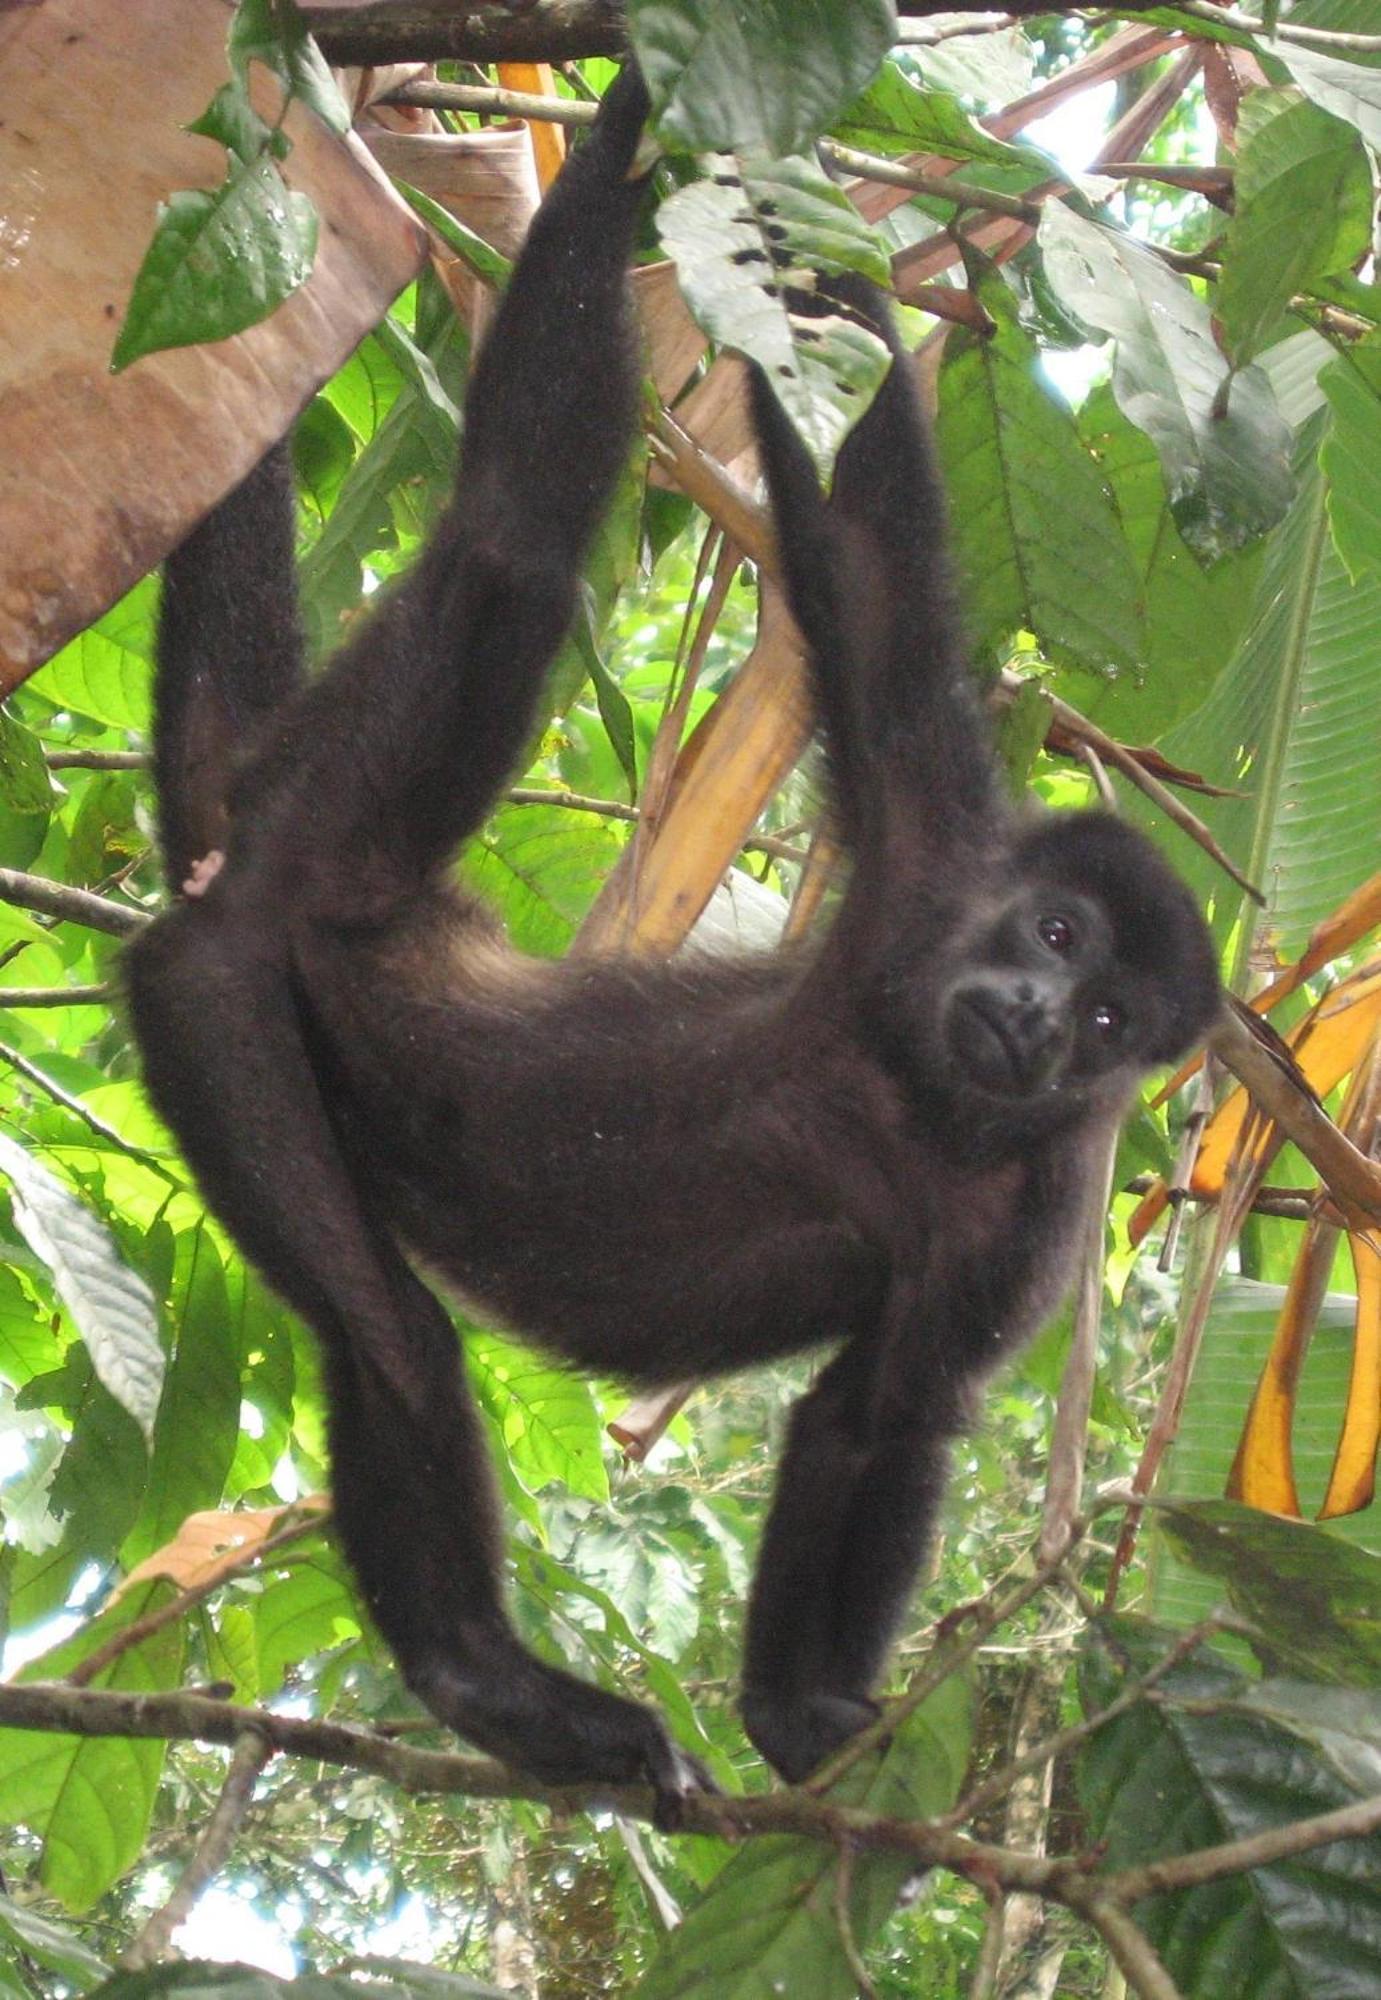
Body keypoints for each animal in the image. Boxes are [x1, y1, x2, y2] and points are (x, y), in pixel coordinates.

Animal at [123, 66, 1208, 1816]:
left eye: (1112, 1023)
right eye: (1052, 930)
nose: (1041, 1020)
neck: (913, 1082)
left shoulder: (1038, 1211)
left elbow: (881, 1415)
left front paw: (804, 1714)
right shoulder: (928, 842)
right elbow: (858, 533)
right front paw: (775, 126)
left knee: (383, 1332)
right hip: (253, 948)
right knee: (512, 558)